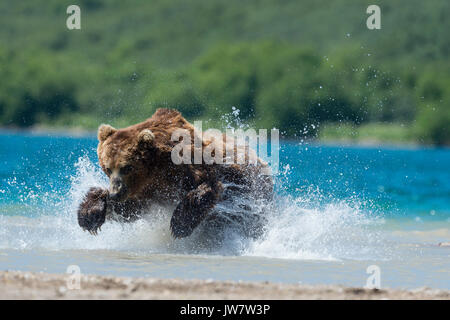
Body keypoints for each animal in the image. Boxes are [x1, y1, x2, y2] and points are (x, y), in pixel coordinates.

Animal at [77, 109, 272, 238]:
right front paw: (89, 215)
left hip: (253, 196)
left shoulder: (193, 168)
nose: (115, 193)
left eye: (127, 167)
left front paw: (179, 224)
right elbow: (130, 209)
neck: (159, 170)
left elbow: (209, 187)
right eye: (108, 168)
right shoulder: (146, 191)